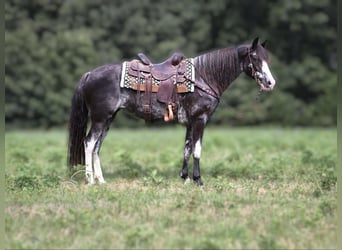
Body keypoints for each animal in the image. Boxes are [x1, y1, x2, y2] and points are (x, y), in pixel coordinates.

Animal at [67, 37, 276, 186]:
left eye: (267, 58)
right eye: (255, 58)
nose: (270, 82)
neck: (203, 77)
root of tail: (89, 74)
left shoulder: (190, 122)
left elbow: (187, 148)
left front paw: (185, 178)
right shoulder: (200, 119)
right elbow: (197, 150)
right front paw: (198, 180)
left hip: (108, 119)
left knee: (97, 147)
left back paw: (101, 180)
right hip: (100, 119)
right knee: (89, 143)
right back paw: (90, 180)